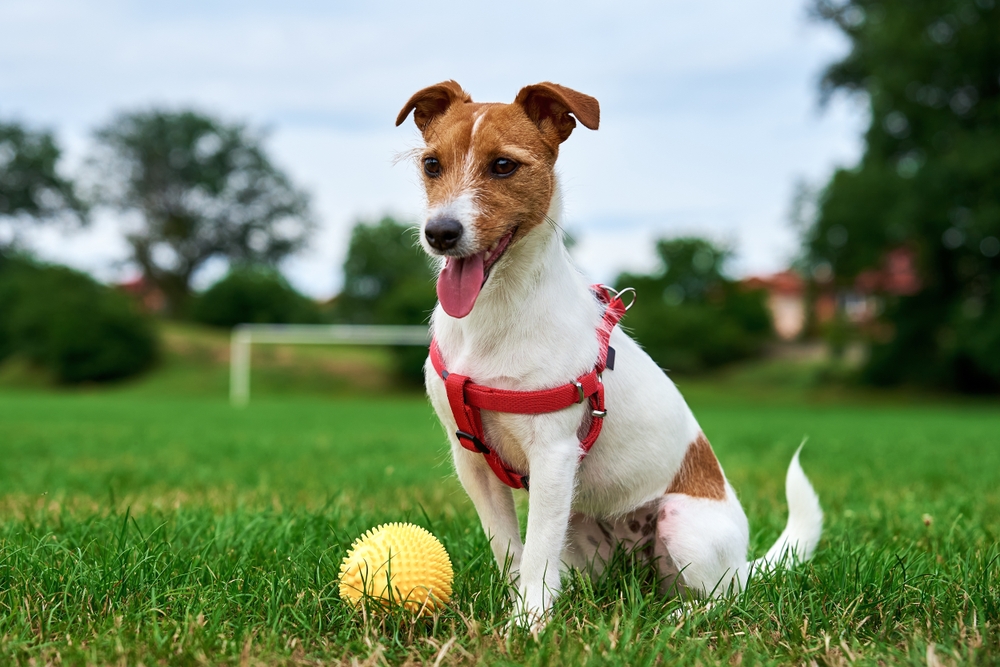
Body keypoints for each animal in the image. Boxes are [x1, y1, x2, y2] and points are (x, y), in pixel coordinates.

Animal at [394, 81, 824, 628]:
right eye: (431, 164)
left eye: (503, 166)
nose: (440, 233)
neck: (494, 315)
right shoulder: (471, 458)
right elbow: (512, 552)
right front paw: (518, 609)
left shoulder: (554, 456)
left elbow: (536, 554)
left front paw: (527, 625)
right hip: (580, 526)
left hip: (682, 524)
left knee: (723, 598)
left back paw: (679, 619)